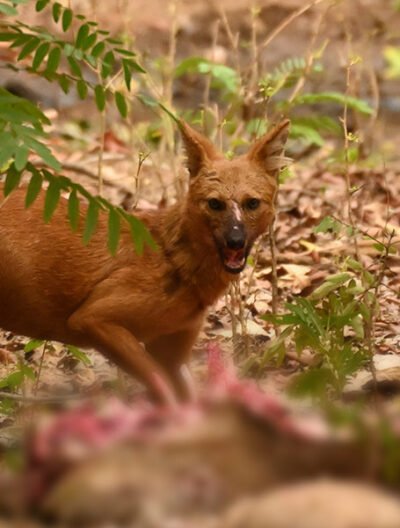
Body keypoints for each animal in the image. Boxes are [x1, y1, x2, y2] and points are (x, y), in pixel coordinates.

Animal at [0, 118, 290, 400]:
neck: (175, 260)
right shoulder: (94, 318)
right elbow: (163, 390)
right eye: (214, 203)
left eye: (252, 203)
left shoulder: (171, 346)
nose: (235, 240)